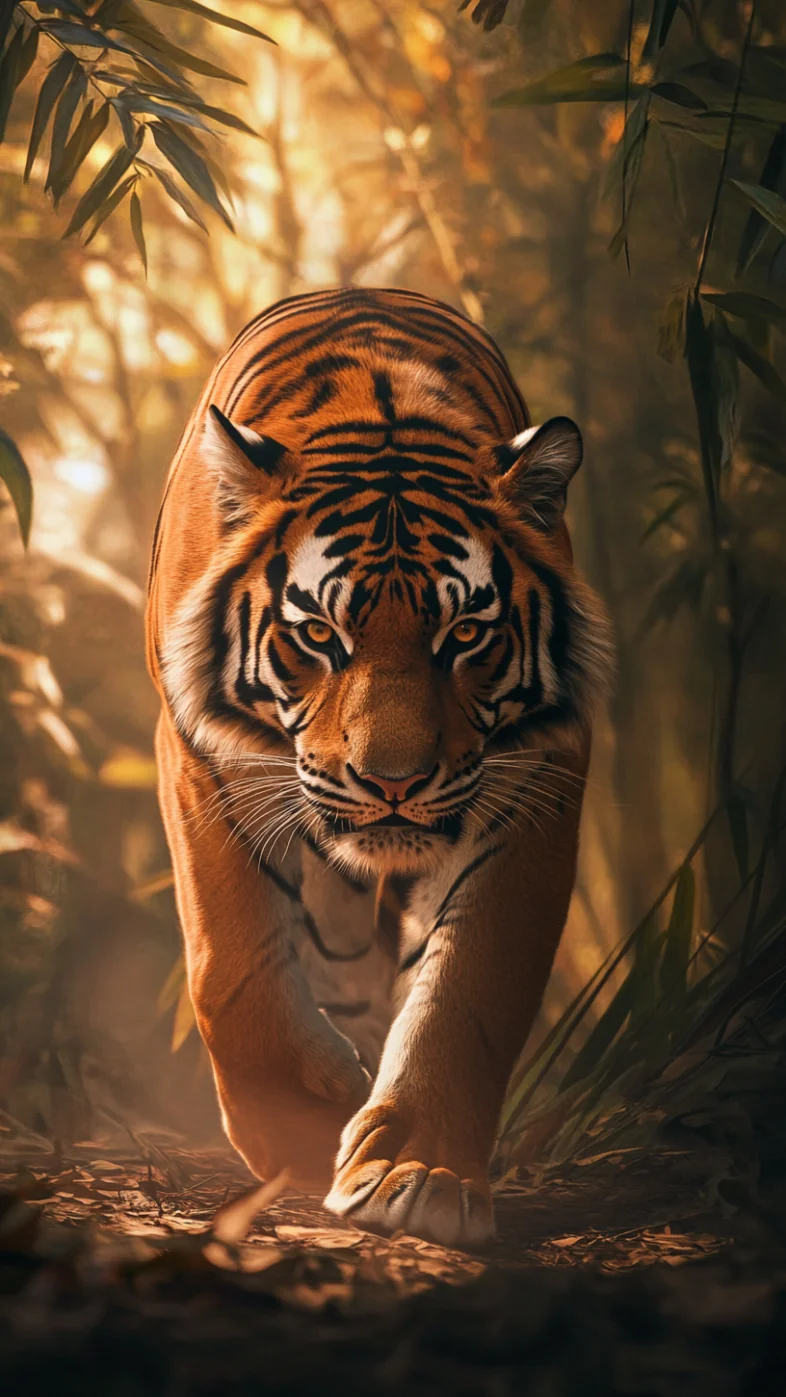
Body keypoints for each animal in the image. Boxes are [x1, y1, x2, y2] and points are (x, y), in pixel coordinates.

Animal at [146, 286, 612, 1248]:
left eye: (465, 633)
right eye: (320, 633)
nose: (393, 781)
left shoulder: (536, 781)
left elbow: (467, 989)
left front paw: (419, 1170)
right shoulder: (204, 760)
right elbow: (231, 967)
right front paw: (304, 1127)